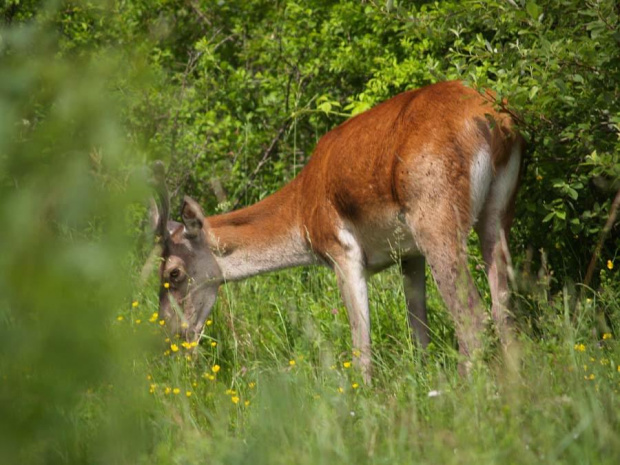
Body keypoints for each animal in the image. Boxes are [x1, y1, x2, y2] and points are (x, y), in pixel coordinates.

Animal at [150, 81, 524, 382]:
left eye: (173, 273)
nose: (169, 339)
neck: (302, 212)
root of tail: (494, 122)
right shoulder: (409, 253)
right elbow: (418, 329)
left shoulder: (341, 249)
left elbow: (361, 344)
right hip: (498, 212)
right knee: (504, 312)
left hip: (436, 218)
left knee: (474, 318)